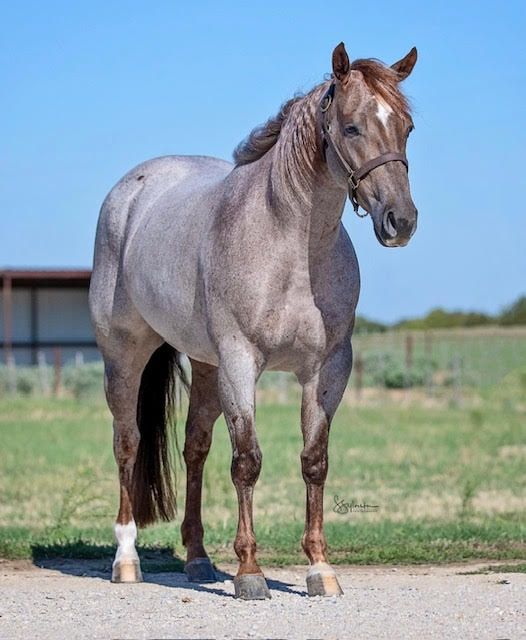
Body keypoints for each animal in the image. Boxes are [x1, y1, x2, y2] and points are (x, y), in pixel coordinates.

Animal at [89, 41, 418, 599]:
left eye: (407, 127)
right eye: (352, 127)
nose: (401, 220)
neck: (289, 247)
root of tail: (129, 192)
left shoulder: (328, 369)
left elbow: (314, 461)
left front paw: (320, 569)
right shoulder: (241, 361)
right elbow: (247, 461)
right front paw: (249, 572)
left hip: (205, 365)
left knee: (194, 448)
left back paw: (198, 558)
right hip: (125, 355)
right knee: (127, 443)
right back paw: (126, 560)